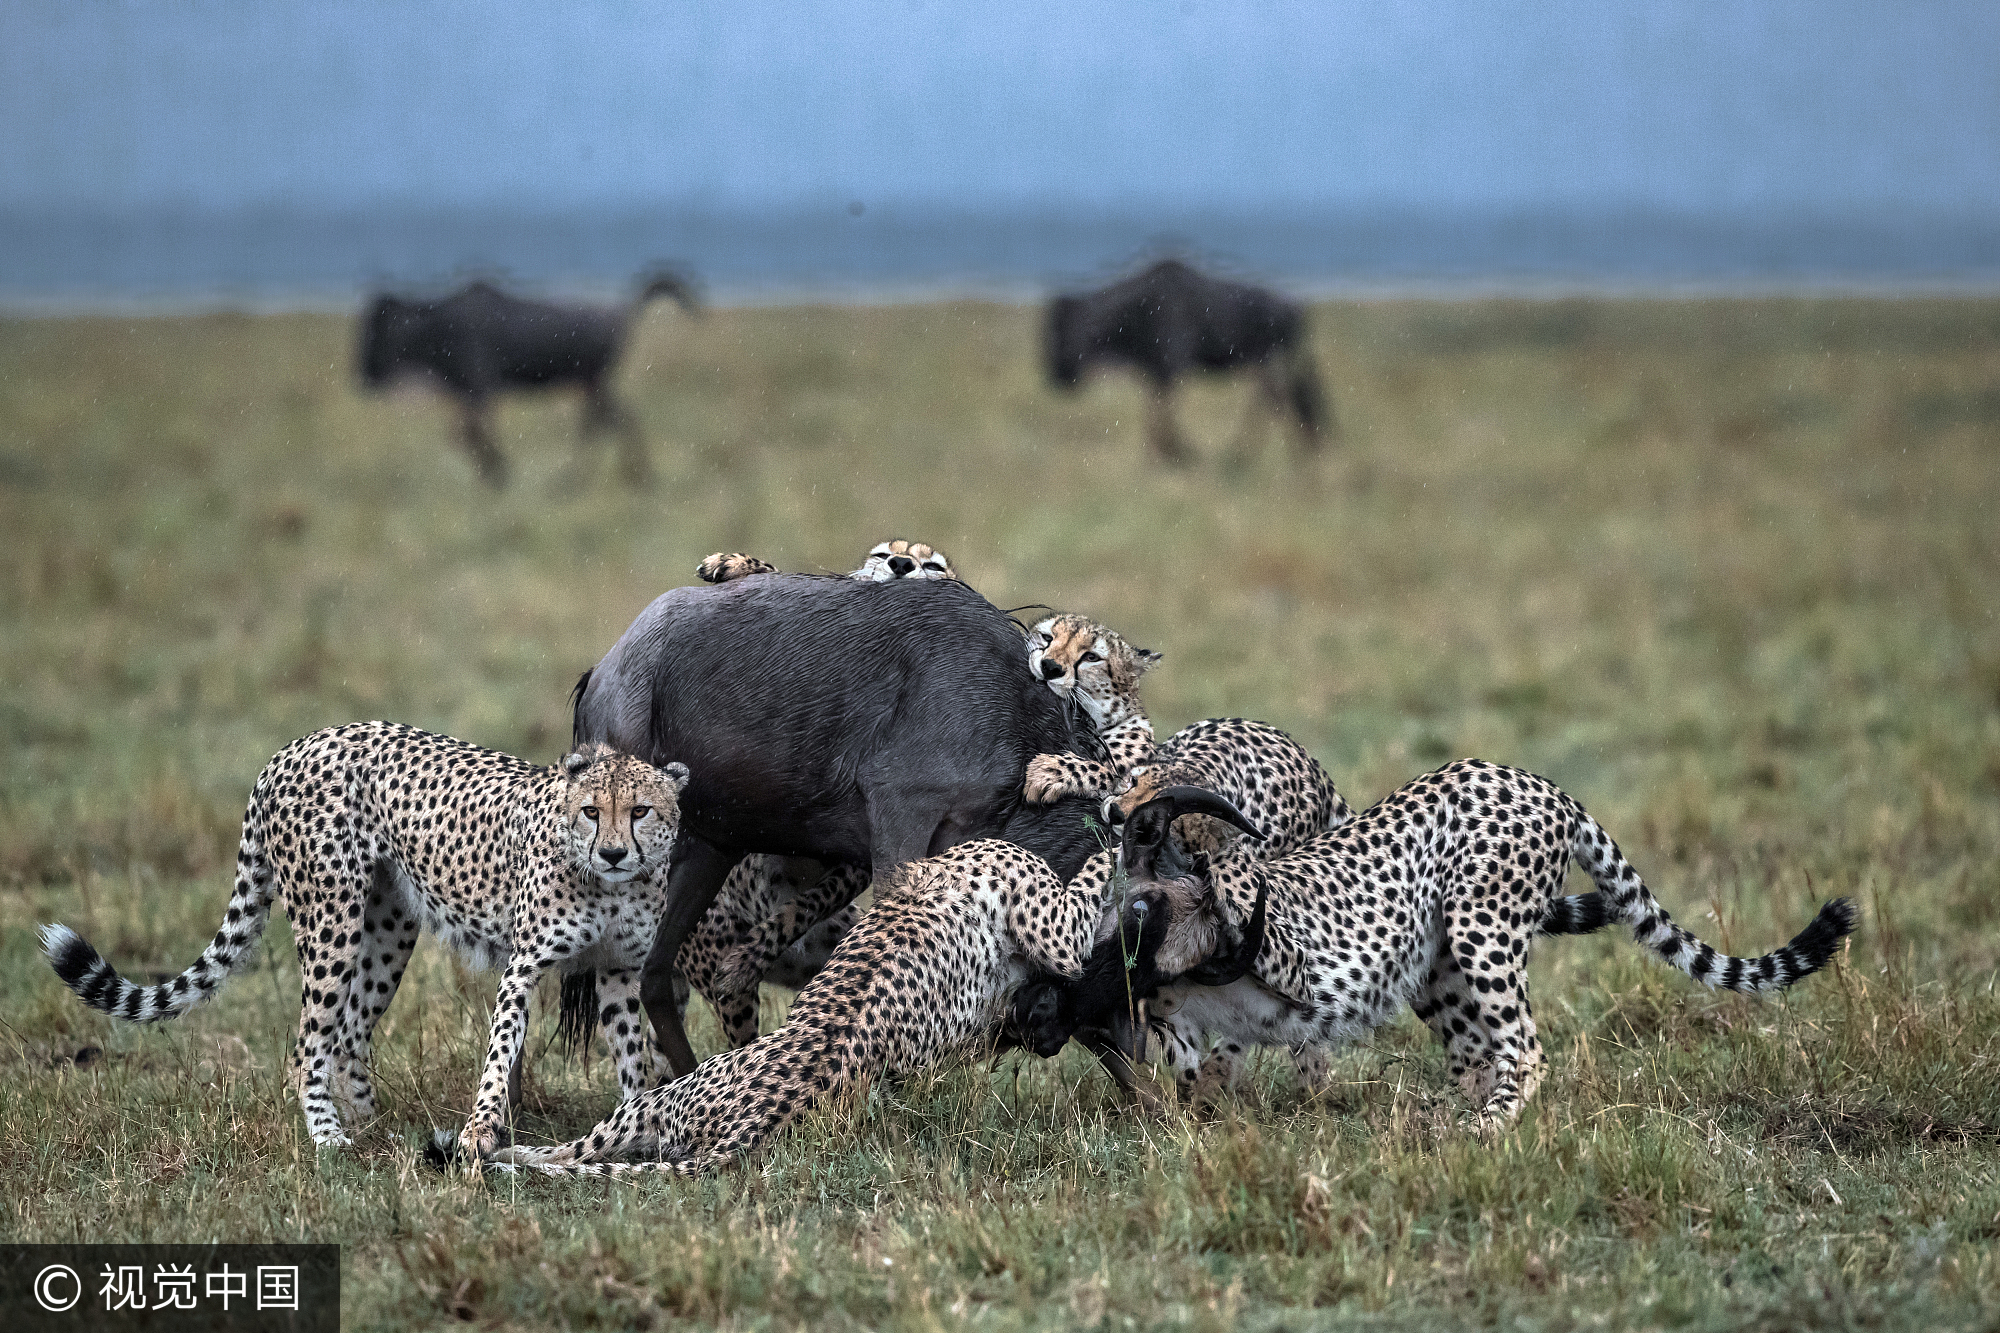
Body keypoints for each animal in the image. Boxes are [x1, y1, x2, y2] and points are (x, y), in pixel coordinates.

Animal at [41, 720, 688, 1144]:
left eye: (640, 812)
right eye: (591, 812)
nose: (612, 852)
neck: (611, 885)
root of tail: (295, 745)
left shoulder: (620, 971)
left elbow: (633, 1053)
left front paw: (638, 1121)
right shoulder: (522, 970)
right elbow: (501, 1051)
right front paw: (479, 1133)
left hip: (388, 930)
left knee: (348, 1034)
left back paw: (372, 1128)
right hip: (331, 923)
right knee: (309, 1042)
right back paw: (329, 1139)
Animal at [488, 840, 1112, 1176]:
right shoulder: (1057, 929)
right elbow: (1094, 875)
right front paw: (1121, 819)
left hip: (656, 1118)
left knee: (580, 1154)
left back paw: (512, 1153)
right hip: (652, 1104)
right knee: (574, 1148)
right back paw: (505, 1147)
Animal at [1096, 756, 1856, 1120]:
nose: (1113, 810)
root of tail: (1543, 785)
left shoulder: (1302, 962)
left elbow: (1238, 889)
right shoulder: (1173, 1018)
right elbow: (1188, 1070)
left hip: (1481, 927)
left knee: (1526, 1050)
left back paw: (1485, 1129)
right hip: (1439, 965)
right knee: (1474, 1053)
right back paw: (1447, 1122)